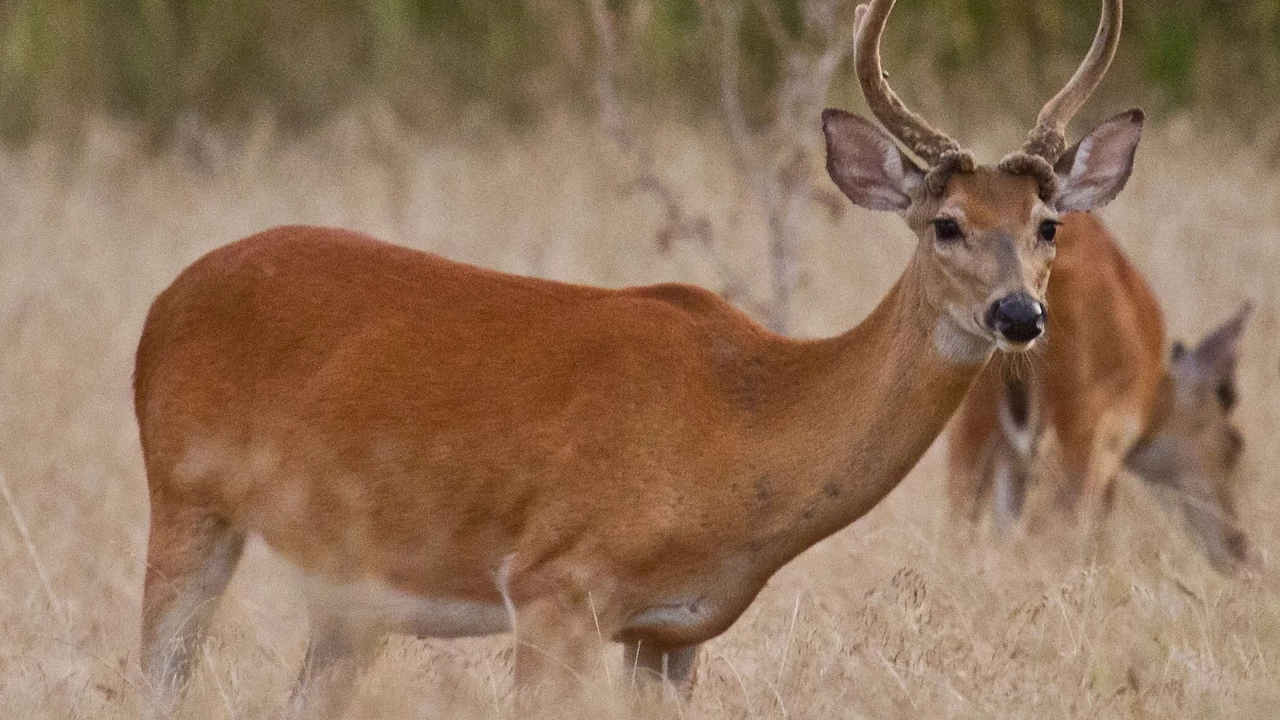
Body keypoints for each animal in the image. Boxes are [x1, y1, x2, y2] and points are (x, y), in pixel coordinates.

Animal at [137, 0, 1141, 712]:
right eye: (947, 224)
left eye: (1049, 224)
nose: (1019, 314)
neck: (747, 415)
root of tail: (168, 298)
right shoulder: (555, 585)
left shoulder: (673, 634)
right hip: (186, 502)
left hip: (348, 596)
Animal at [947, 210, 1254, 568]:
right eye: (1234, 443)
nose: (1238, 547)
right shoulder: (1111, 438)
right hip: (1082, 426)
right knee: (1044, 532)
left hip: (972, 412)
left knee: (962, 518)